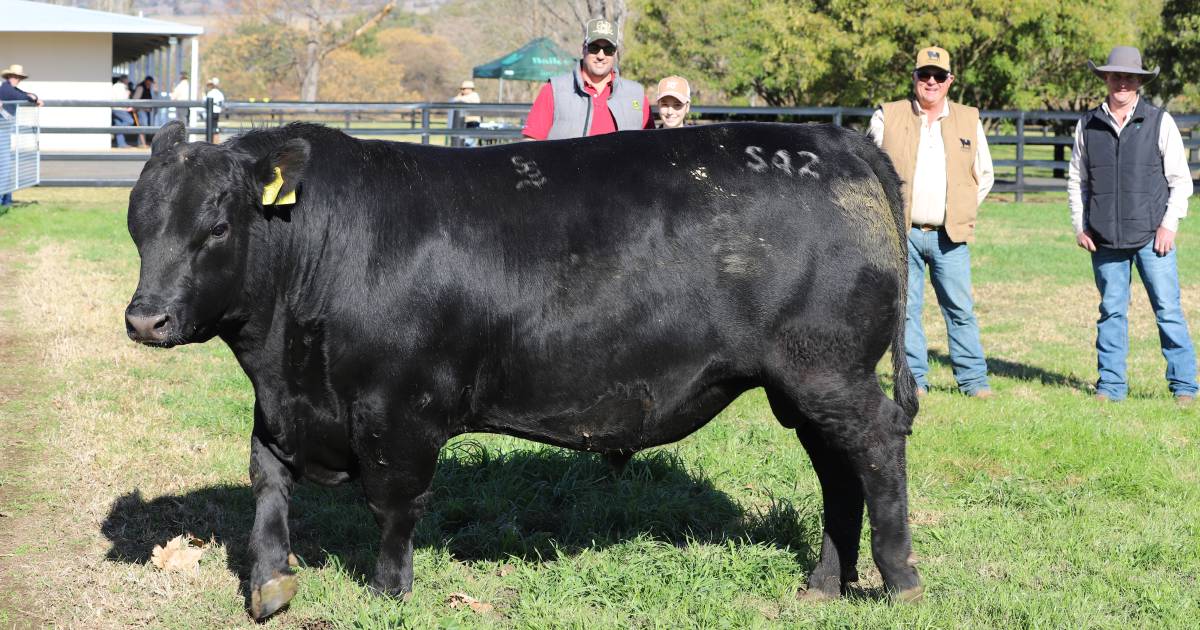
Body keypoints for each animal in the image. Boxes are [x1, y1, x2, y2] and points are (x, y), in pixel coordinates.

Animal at [126, 120, 921, 614]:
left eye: (216, 226)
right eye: (137, 223)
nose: (144, 319)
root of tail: (829, 137)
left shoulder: (399, 410)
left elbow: (394, 505)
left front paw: (389, 592)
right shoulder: (286, 407)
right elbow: (266, 484)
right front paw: (269, 580)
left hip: (831, 372)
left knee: (879, 449)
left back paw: (900, 579)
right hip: (803, 386)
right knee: (837, 470)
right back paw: (824, 583)